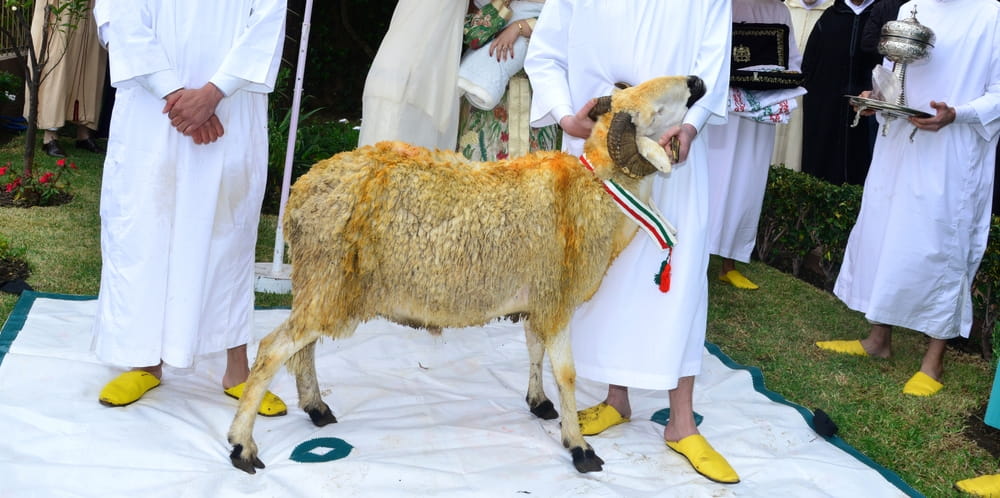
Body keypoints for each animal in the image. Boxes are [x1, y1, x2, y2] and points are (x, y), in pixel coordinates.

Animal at [229, 75, 708, 474]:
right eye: (656, 110)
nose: (697, 82)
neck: (594, 189)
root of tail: (300, 191)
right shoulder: (556, 298)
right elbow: (567, 374)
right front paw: (579, 447)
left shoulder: (538, 296)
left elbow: (533, 349)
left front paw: (538, 403)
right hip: (327, 282)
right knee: (273, 350)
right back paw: (242, 447)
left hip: (320, 283)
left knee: (303, 349)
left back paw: (316, 408)